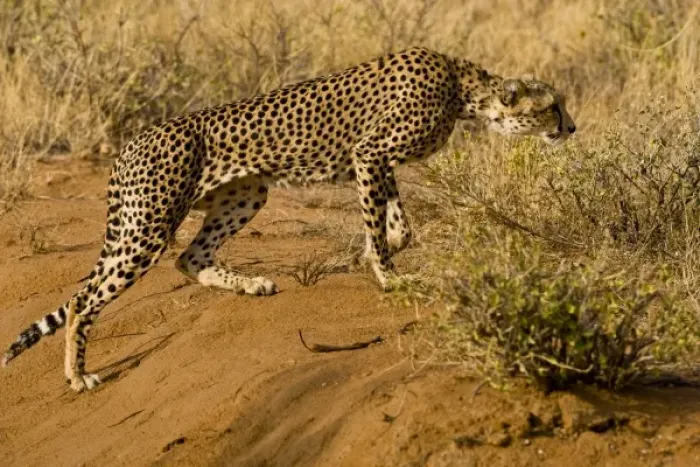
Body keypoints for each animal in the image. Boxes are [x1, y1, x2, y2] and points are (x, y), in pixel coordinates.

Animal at [2, 47, 576, 392]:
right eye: (554, 106)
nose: (572, 127)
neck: (463, 90)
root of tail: (132, 143)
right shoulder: (371, 153)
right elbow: (379, 224)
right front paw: (388, 276)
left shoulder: (375, 161)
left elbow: (397, 223)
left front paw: (378, 252)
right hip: (148, 224)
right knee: (83, 300)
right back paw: (79, 375)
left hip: (245, 193)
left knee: (190, 257)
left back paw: (251, 284)